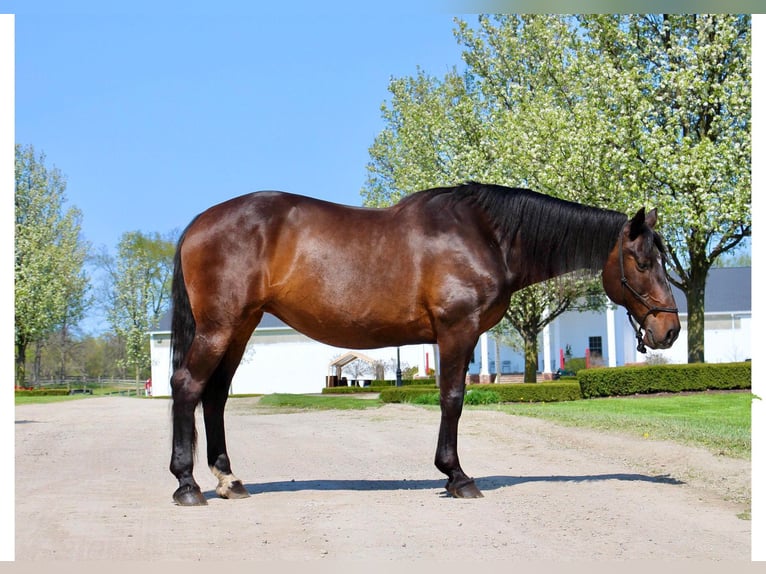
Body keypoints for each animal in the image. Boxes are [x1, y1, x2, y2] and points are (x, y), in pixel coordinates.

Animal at [166, 182, 680, 506]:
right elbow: (452, 398)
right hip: (220, 326)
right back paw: (187, 484)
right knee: (187, 386)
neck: (487, 236)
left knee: (215, 396)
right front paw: (457, 476)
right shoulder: (457, 330)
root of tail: (198, 223)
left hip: (240, 327)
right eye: (641, 260)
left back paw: (229, 480)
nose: (669, 329)